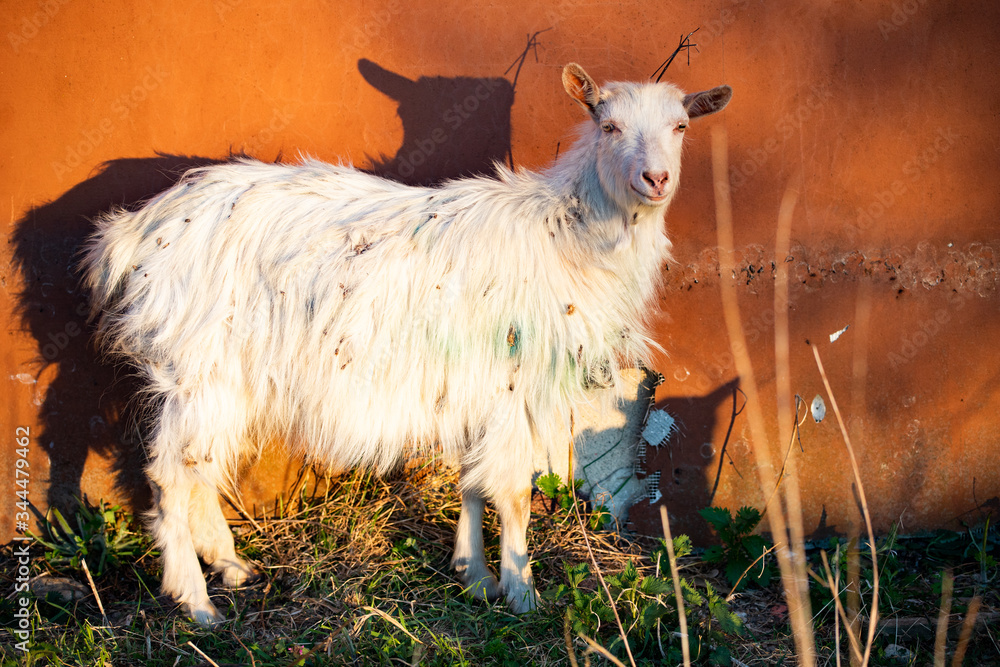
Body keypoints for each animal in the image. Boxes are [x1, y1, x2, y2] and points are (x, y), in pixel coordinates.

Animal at [82, 65, 732, 624]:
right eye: (608, 124)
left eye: (681, 126)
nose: (656, 180)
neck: (566, 233)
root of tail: (136, 232)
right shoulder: (514, 381)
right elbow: (514, 491)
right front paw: (521, 591)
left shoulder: (477, 382)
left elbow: (470, 480)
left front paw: (475, 575)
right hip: (199, 366)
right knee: (170, 474)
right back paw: (196, 603)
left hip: (223, 378)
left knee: (200, 469)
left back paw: (232, 566)